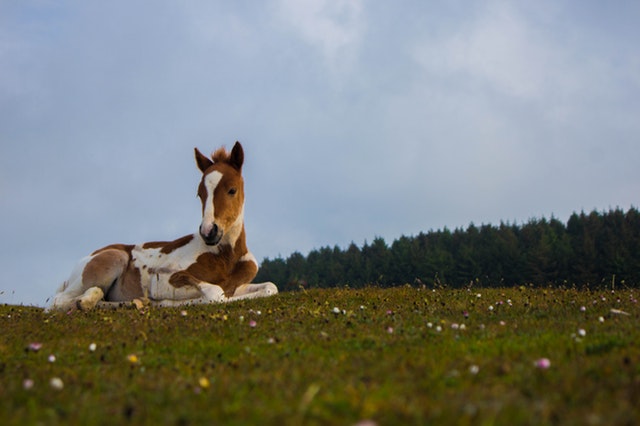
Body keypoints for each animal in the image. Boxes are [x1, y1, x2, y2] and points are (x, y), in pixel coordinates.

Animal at [47, 141, 278, 312]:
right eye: (200, 194)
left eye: (232, 190)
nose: (208, 232)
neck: (226, 256)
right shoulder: (167, 277)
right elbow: (215, 293)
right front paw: (168, 302)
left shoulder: (237, 286)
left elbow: (270, 288)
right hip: (113, 259)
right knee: (56, 301)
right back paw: (87, 301)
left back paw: (132, 303)